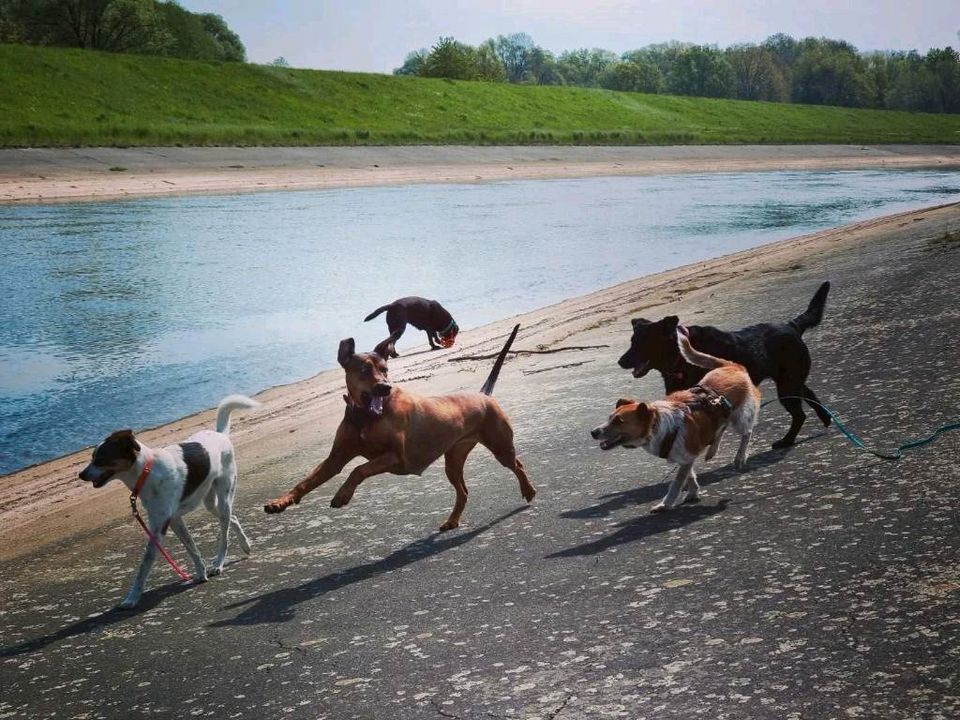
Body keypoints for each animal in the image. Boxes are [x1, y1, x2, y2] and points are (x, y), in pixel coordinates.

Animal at [79, 394, 258, 608]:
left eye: (101, 458)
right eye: (92, 457)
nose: (81, 474)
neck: (146, 471)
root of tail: (220, 434)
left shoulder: (159, 527)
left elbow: (145, 564)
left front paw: (132, 597)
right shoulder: (174, 520)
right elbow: (191, 547)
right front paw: (201, 573)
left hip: (223, 497)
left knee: (224, 535)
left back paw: (218, 564)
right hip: (210, 501)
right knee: (233, 518)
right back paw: (245, 545)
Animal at [264, 324, 532, 532]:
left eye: (385, 370)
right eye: (364, 370)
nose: (385, 387)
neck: (366, 417)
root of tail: (483, 395)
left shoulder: (395, 457)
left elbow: (358, 470)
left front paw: (342, 495)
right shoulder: (336, 457)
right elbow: (306, 481)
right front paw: (281, 502)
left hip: (500, 445)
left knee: (517, 465)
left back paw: (529, 491)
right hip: (454, 458)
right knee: (463, 491)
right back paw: (452, 521)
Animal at [588, 332, 760, 512]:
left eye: (619, 421)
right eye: (609, 418)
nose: (593, 432)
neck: (657, 425)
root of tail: (732, 366)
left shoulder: (685, 456)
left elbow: (676, 484)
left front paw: (666, 504)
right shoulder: (683, 456)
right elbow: (689, 476)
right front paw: (693, 493)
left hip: (740, 417)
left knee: (747, 432)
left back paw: (740, 457)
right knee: (721, 428)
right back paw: (712, 451)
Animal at [616, 284, 832, 448]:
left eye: (641, 343)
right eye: (632, 341)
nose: (620, 361)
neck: (678, 356)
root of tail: (792, 325)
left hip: (787, 385)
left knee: (799, 414)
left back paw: (787, 440)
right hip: (791, 380)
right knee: (810, 395)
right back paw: (825, 418)